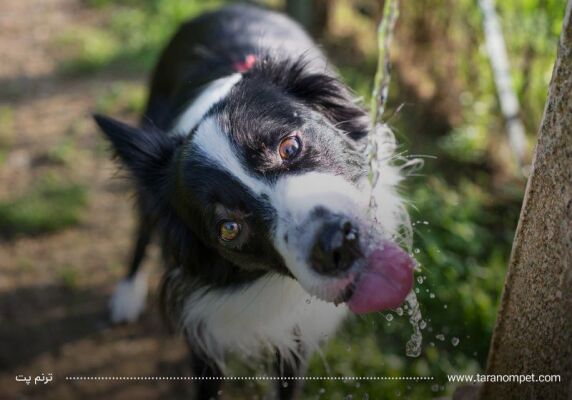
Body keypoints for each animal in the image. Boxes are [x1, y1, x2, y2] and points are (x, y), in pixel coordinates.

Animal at [95, 3, 416, 400]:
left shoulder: (295, 336)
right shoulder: (204, 330)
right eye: (229, 228)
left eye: (289, 146)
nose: (336, 246)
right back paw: (127, 293)